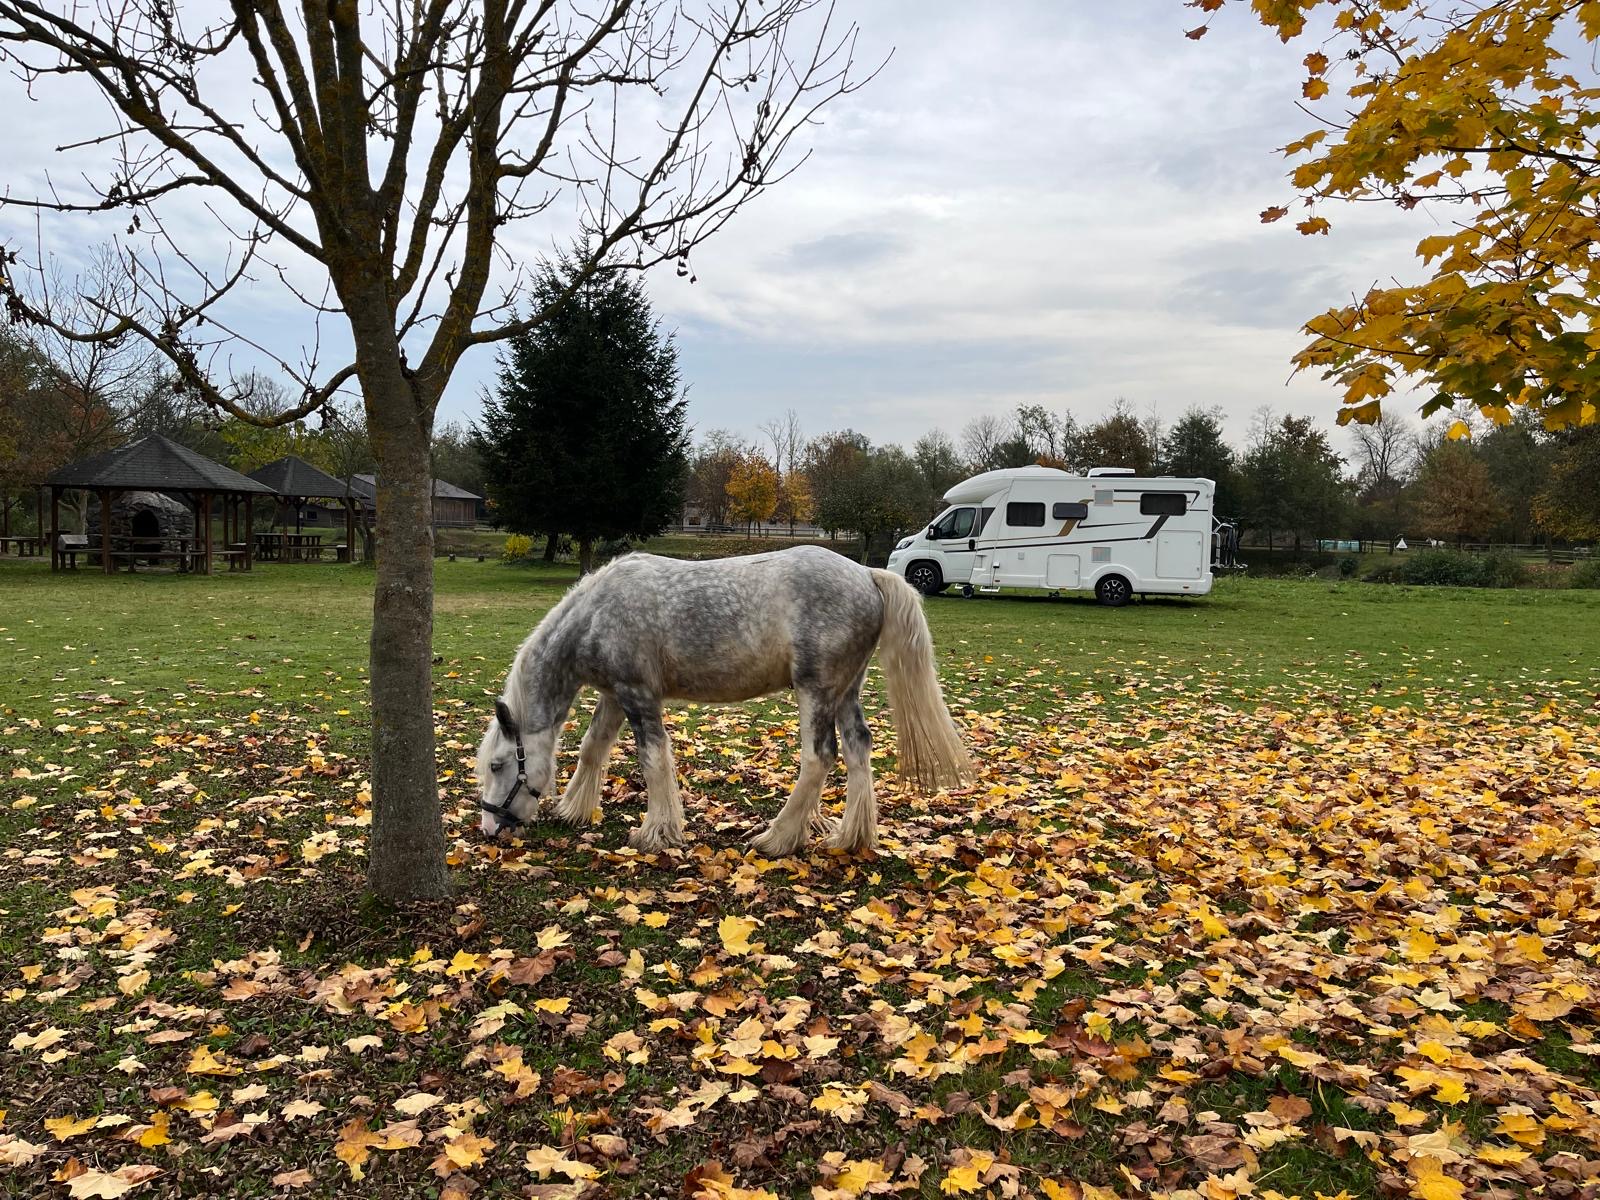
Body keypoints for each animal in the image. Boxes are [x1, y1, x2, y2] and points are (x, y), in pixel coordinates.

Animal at [475, 545, 974, 855]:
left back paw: (777, 838)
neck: (596, 614)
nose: (488, 828)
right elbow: (592, 748)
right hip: (845, 692)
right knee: (857, 750)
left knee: (820, 757)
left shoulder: (639, 696)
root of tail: (866, 575)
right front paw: (575, 810)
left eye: (498, 766)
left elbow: (652, 759)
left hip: (816, 692)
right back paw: (850, 837)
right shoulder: (616, 696)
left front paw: (656, 831)